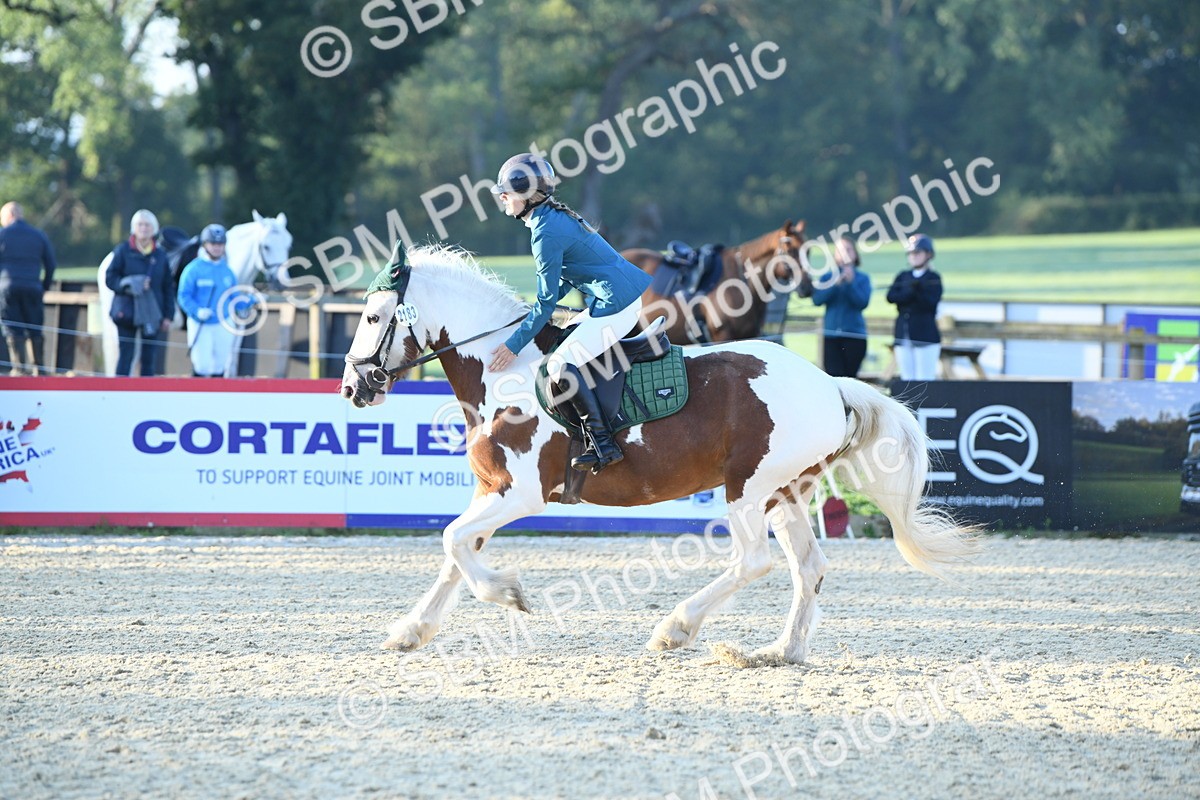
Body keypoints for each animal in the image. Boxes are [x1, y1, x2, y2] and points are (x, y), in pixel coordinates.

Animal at [97, 210, 293, 376]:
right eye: (266, 246)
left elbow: (229, 366)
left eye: (288, 245)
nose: (281, 281)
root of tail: (108, 259)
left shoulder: (235, 332)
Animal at [339, 245, 976, 663]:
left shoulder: (520, 495)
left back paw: (677, 627)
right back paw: (780, 651)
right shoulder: (490, 491)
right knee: (808, 568)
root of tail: (830, 385)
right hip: (784, 492)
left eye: (371, 316)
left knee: (754, 561)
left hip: (747, 489)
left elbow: (453, 542)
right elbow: (455, 551)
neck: (504, 368)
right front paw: (412, 630)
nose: (352, 387)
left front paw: (508, 594)